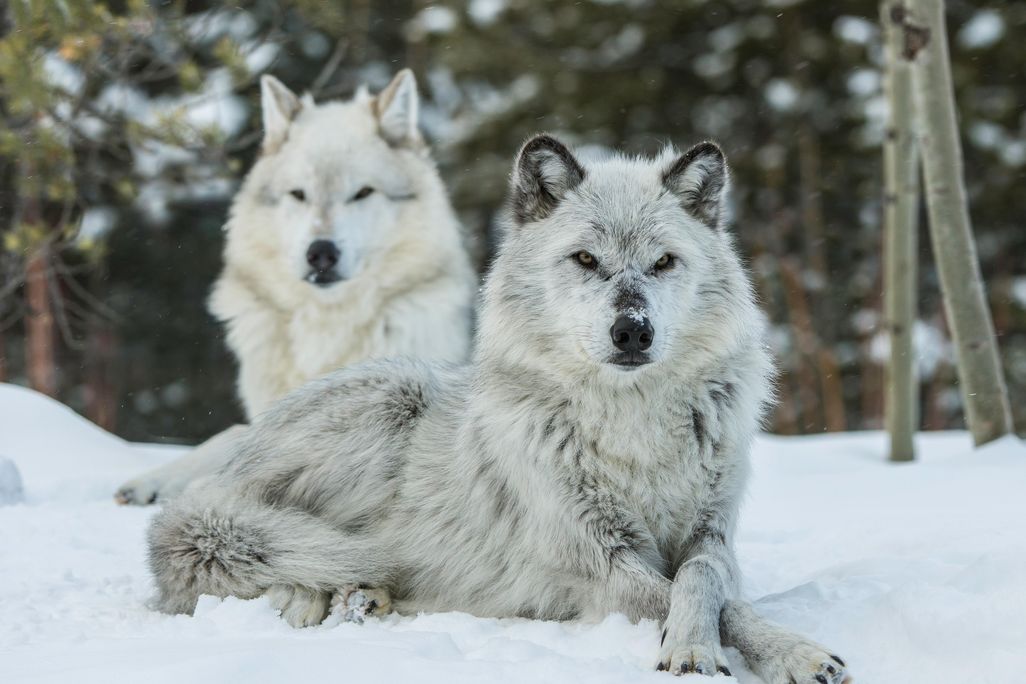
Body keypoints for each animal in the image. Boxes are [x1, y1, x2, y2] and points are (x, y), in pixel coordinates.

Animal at [114, 69, 476, 505]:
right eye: (299, 195)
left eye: (362, 193)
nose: (321, 253)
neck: (327, 331)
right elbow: (233, 434)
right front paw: (154, 479)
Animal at [147, 135, 850, 683]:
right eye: (586, 259)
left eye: (663, 262)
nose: (633, 332)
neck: (631, 426)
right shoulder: (598, 561)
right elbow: (701, 601)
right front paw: (720, 651)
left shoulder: (712, 534)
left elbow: (705, 584)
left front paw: (769, 649)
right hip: (389, 396)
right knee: (250, 556)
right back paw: (321, 596)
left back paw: (365, 599)